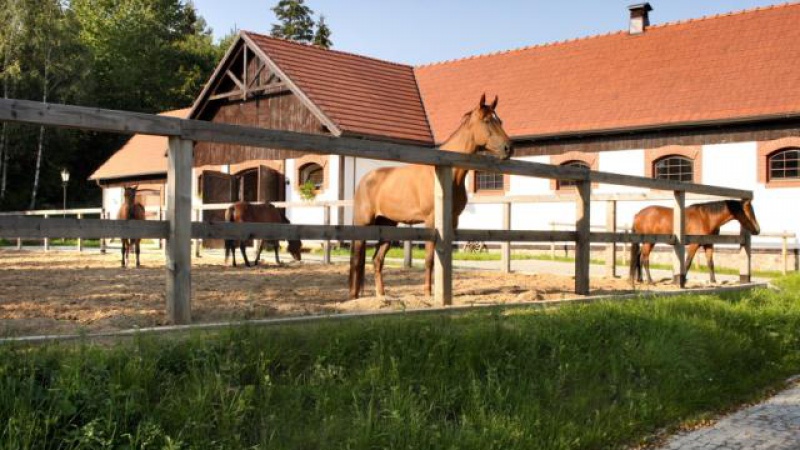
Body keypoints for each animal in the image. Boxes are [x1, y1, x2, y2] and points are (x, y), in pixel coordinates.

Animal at [348, 94, 512, 298]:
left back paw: (382, 295)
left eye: (501, 121)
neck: (446, 173)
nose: (508, 148)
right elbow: (429, 259)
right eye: (488, 120)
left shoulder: (451, 222)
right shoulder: (431, 221)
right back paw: (354, 296)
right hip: (363, 224)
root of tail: (365, 179)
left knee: (377, 259)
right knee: (357, 259)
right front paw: (427, 292)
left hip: (387, 226)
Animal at [628, 200, 760, 284]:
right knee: (645, 259)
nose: (757, 230)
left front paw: (713, 281)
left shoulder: (708, 244)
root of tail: (637, 215)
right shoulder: (694, 245)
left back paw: (640, 279)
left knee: (639, 257)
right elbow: (687, 262)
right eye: (749, 213)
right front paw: (683, 280)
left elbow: (710, 263)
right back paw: (650, 281)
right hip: (649, 242)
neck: (706, 218)